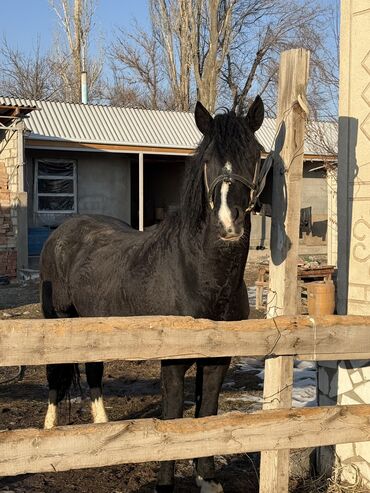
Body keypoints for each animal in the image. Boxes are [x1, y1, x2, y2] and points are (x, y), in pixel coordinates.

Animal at [40, 97, 270, 492]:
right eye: (207, 160)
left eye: (255, 154)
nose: (229, 223)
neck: (199, 275)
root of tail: (62, 232)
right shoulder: (172, 362)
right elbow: (174, 418)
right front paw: (166, 484)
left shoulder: (218, 360)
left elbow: (206, 413)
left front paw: (207, 479)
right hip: (58, 323)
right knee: (57, 375)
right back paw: (50, 431)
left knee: (94, 371)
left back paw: (102, 431)